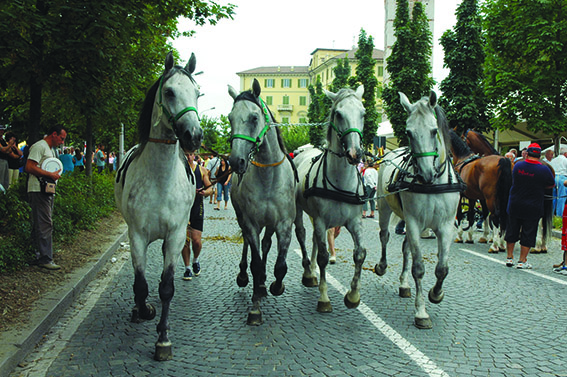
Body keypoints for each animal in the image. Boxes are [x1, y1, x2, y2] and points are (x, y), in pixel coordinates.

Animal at [114, 51, 203, 360]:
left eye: (197, 93)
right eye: (169, 91)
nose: (194, 135)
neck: (160, 181)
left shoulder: (175, 235)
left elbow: (166, 287)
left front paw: (163, 339)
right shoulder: (137, 236)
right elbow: (141, 285)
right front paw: (144, 311)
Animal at [227, 78, 298, 324]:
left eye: (254, 118)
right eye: (230, 118)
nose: (235, 161)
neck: (268, 177)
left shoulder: (284, 225)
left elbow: (281, 266)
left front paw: (276, 285)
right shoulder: (251, 223)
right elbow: (256, 263)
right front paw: (255, 306)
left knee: (266, 244)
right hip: (243, 218)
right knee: (249, 245)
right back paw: (244, 276)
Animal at [292, 84, 368, 312]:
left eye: (363, 113)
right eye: (338, 114)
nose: (355, 153)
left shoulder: (354, 221)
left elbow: (360, 253)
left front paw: (353, 295)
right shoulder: (321, 220)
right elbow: (325, 257)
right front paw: (324, 297)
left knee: (315, 240)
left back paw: (312, 270)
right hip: (299, 210)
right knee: (302, 234)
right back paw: (308, 272)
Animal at [374, 92, 464, 328]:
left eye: (433, 130)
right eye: (408, 132)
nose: (425, 174)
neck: (434, 184)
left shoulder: (445, 226)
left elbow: (442, 268)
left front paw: (436, 293)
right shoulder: (414, 222)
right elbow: (419, 268)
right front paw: (421, 312)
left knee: (405, 248)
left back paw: (404, 285)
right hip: (384, 209)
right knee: (384, 236)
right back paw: (382, 266)